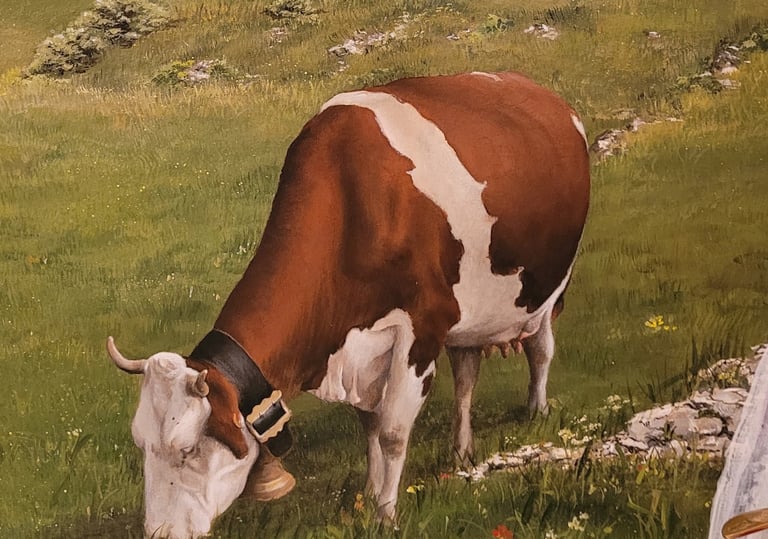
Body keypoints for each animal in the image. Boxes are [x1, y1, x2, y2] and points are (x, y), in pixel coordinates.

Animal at [108, 71, 590, 538]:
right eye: (140, 443)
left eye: (187, 449)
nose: (158, 534)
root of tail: (543, 93)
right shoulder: (363, 350)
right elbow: (371, 425)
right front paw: (369, 495)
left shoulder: (421, 329)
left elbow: (393, 432)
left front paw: (385, 516)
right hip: (470, 315)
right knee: (467, 374)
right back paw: (462, 451)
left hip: (553, 286)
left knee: (541, 349)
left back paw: (536, 412)